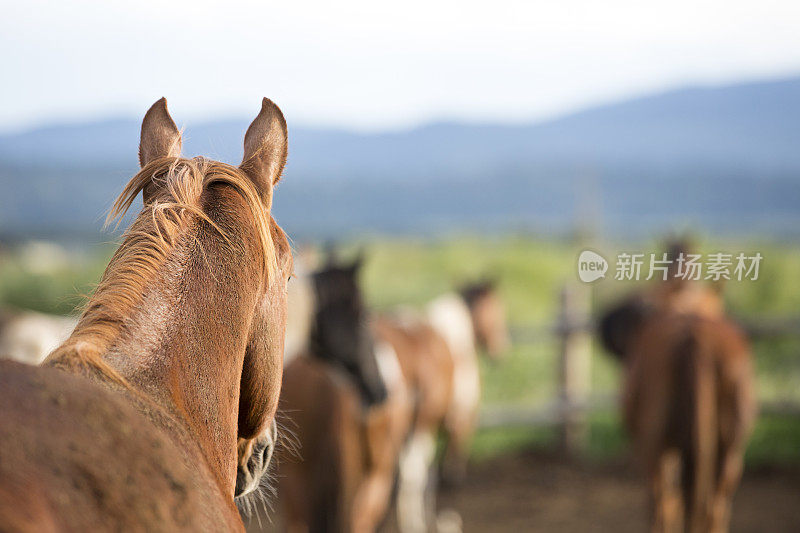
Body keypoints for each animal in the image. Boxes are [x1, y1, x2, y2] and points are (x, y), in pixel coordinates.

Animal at [376, 278, 512, 532]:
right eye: (498, 309)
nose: (500, 349)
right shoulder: (458, 424)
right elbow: (442, 475)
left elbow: (430, 478)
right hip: (419, 425)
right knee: (411, 472)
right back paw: (412, 523)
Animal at [600, 247, 756, 528]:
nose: (605, 323)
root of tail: (695, 336)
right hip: (730, 452)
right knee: (714, 508)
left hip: (656, 447)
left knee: (664, 504)